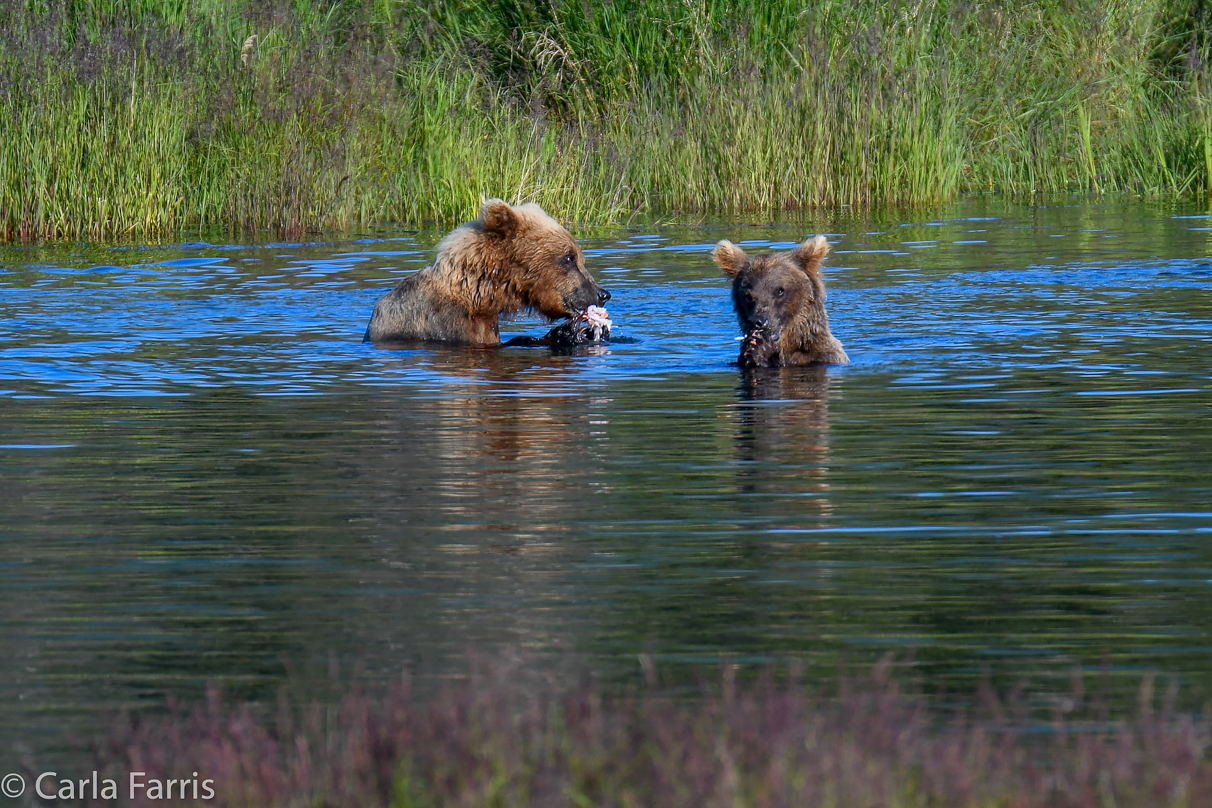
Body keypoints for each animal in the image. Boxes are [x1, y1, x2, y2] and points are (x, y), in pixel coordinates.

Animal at [358, 201, 606, 346]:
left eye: (579, 257)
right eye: (569, 258)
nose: (603, 293)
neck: (479, 296)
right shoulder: (444, 324)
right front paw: (567, 332)